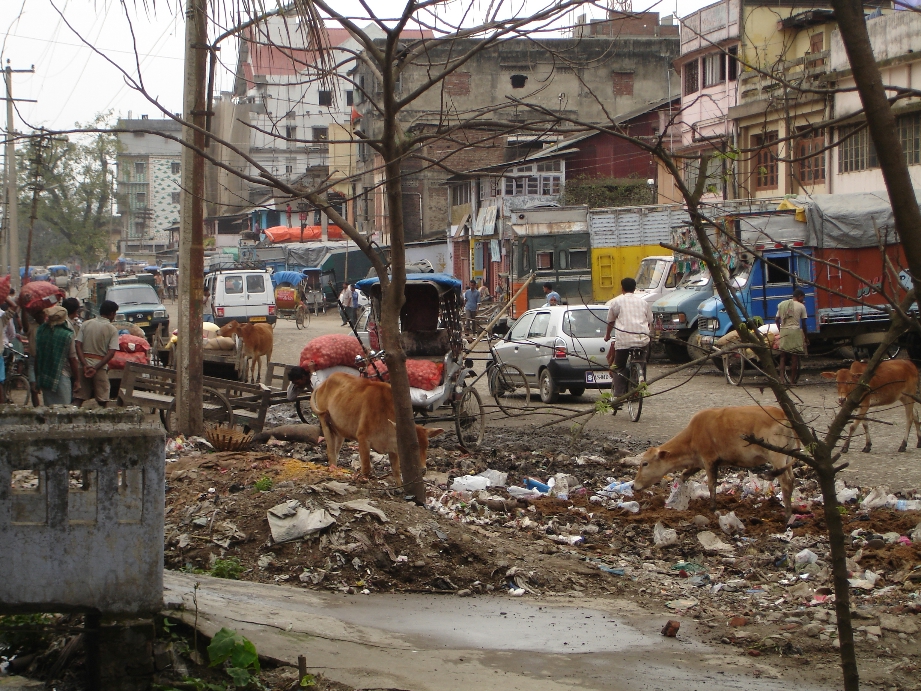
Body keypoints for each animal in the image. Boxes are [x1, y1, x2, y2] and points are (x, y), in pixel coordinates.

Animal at [310, 376, 444, 484]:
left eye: (426, 446)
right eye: (412, 447)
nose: (423, 470)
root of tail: (325, 381)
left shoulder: (393, 447)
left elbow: (396, 471)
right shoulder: (363, 439)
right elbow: (366, 468)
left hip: (339, 431)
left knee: (336, 451)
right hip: (324, 422)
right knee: (330, 452)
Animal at [628, 406, 796, 520]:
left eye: (644, 463)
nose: (633, 485)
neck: (692, 436)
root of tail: (784, 416)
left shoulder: (709, 459)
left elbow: (711, 484)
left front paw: (712, 507)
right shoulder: (698, 462)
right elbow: (683, 475)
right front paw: (678, 494)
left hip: (776, 455)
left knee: (785, 481)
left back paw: (787, 515)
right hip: (787, 457)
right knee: (791, 479)